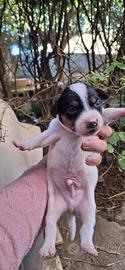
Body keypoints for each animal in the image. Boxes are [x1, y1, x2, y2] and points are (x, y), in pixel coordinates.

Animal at [12, 82, 125, 258]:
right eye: (72, 109)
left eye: (97, 103)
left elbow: (108, 112)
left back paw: (88, 246)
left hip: (89, 210)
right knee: (51, 229)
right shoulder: (51, 133)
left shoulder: (102, 119)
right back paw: (47, 248)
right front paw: (23, 143)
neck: (74, 134)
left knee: (86, 228)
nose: (92, 123)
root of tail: (71, 208)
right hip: (52, 212)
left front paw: (122, 110)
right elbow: (38, 140)